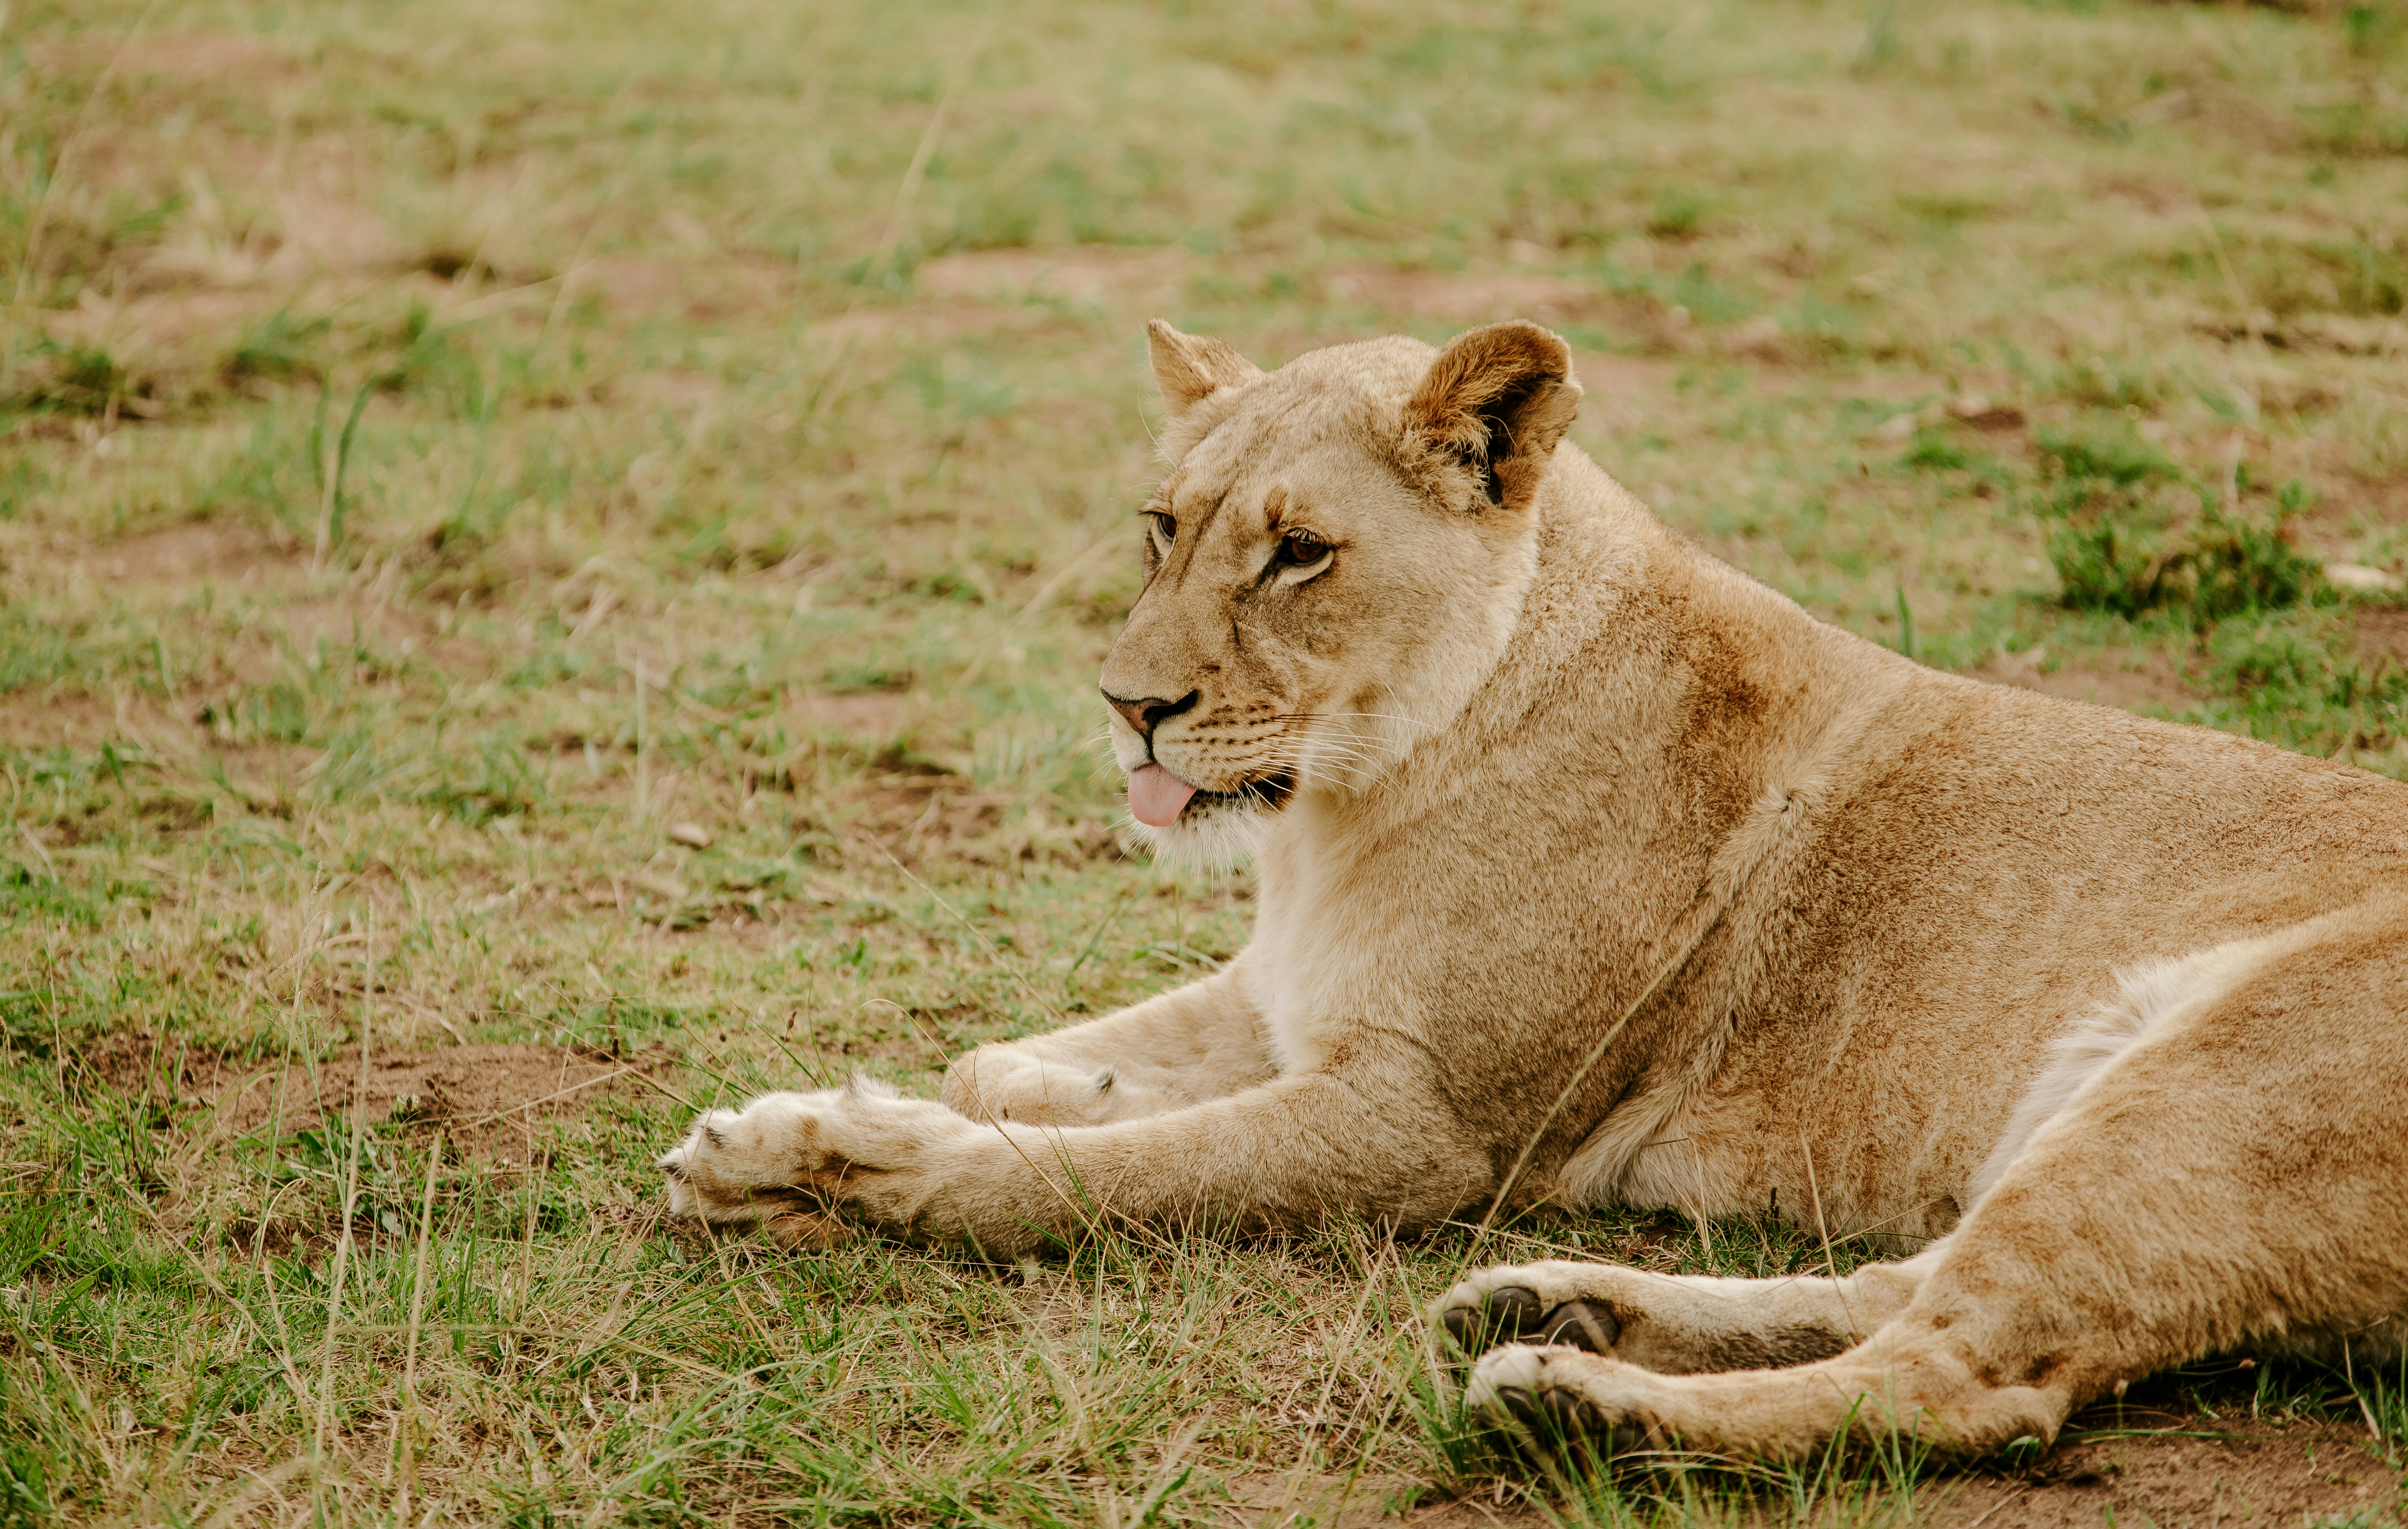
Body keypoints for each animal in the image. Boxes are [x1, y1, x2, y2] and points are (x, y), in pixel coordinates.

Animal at [661, 318, 2408, 1467]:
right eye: (1163, 526)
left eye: (1297, 553)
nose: (1126, 707)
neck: (1339, 807)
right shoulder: (1287, 998)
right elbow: (1010, 1072)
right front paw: (869, 1114)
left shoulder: (1429, 1127)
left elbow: (1087, 1176)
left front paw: (832, 1160)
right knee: (1900, 1287)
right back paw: (1564, 1308)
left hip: (2197, 1089)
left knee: (1969, 1380)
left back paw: (1570, 1405)